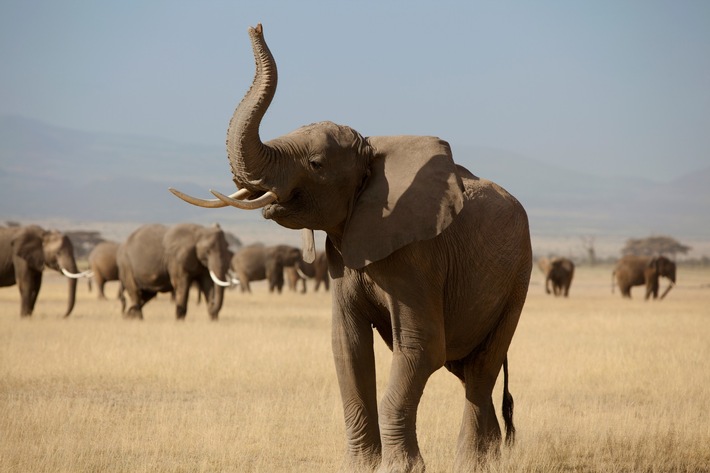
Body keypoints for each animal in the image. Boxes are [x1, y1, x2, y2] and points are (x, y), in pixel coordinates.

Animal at [172, 24, 536, 470]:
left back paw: (471, 462)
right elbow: (348, 348)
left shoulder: (417, 258)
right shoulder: (343, 254)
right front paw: (361, 465)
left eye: (316, 164)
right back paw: (490, 458)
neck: (373, 153)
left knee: (481, 369)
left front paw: (402, 468)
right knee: (468, 370)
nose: (255, 26)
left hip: (518, 275)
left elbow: (421, 347)